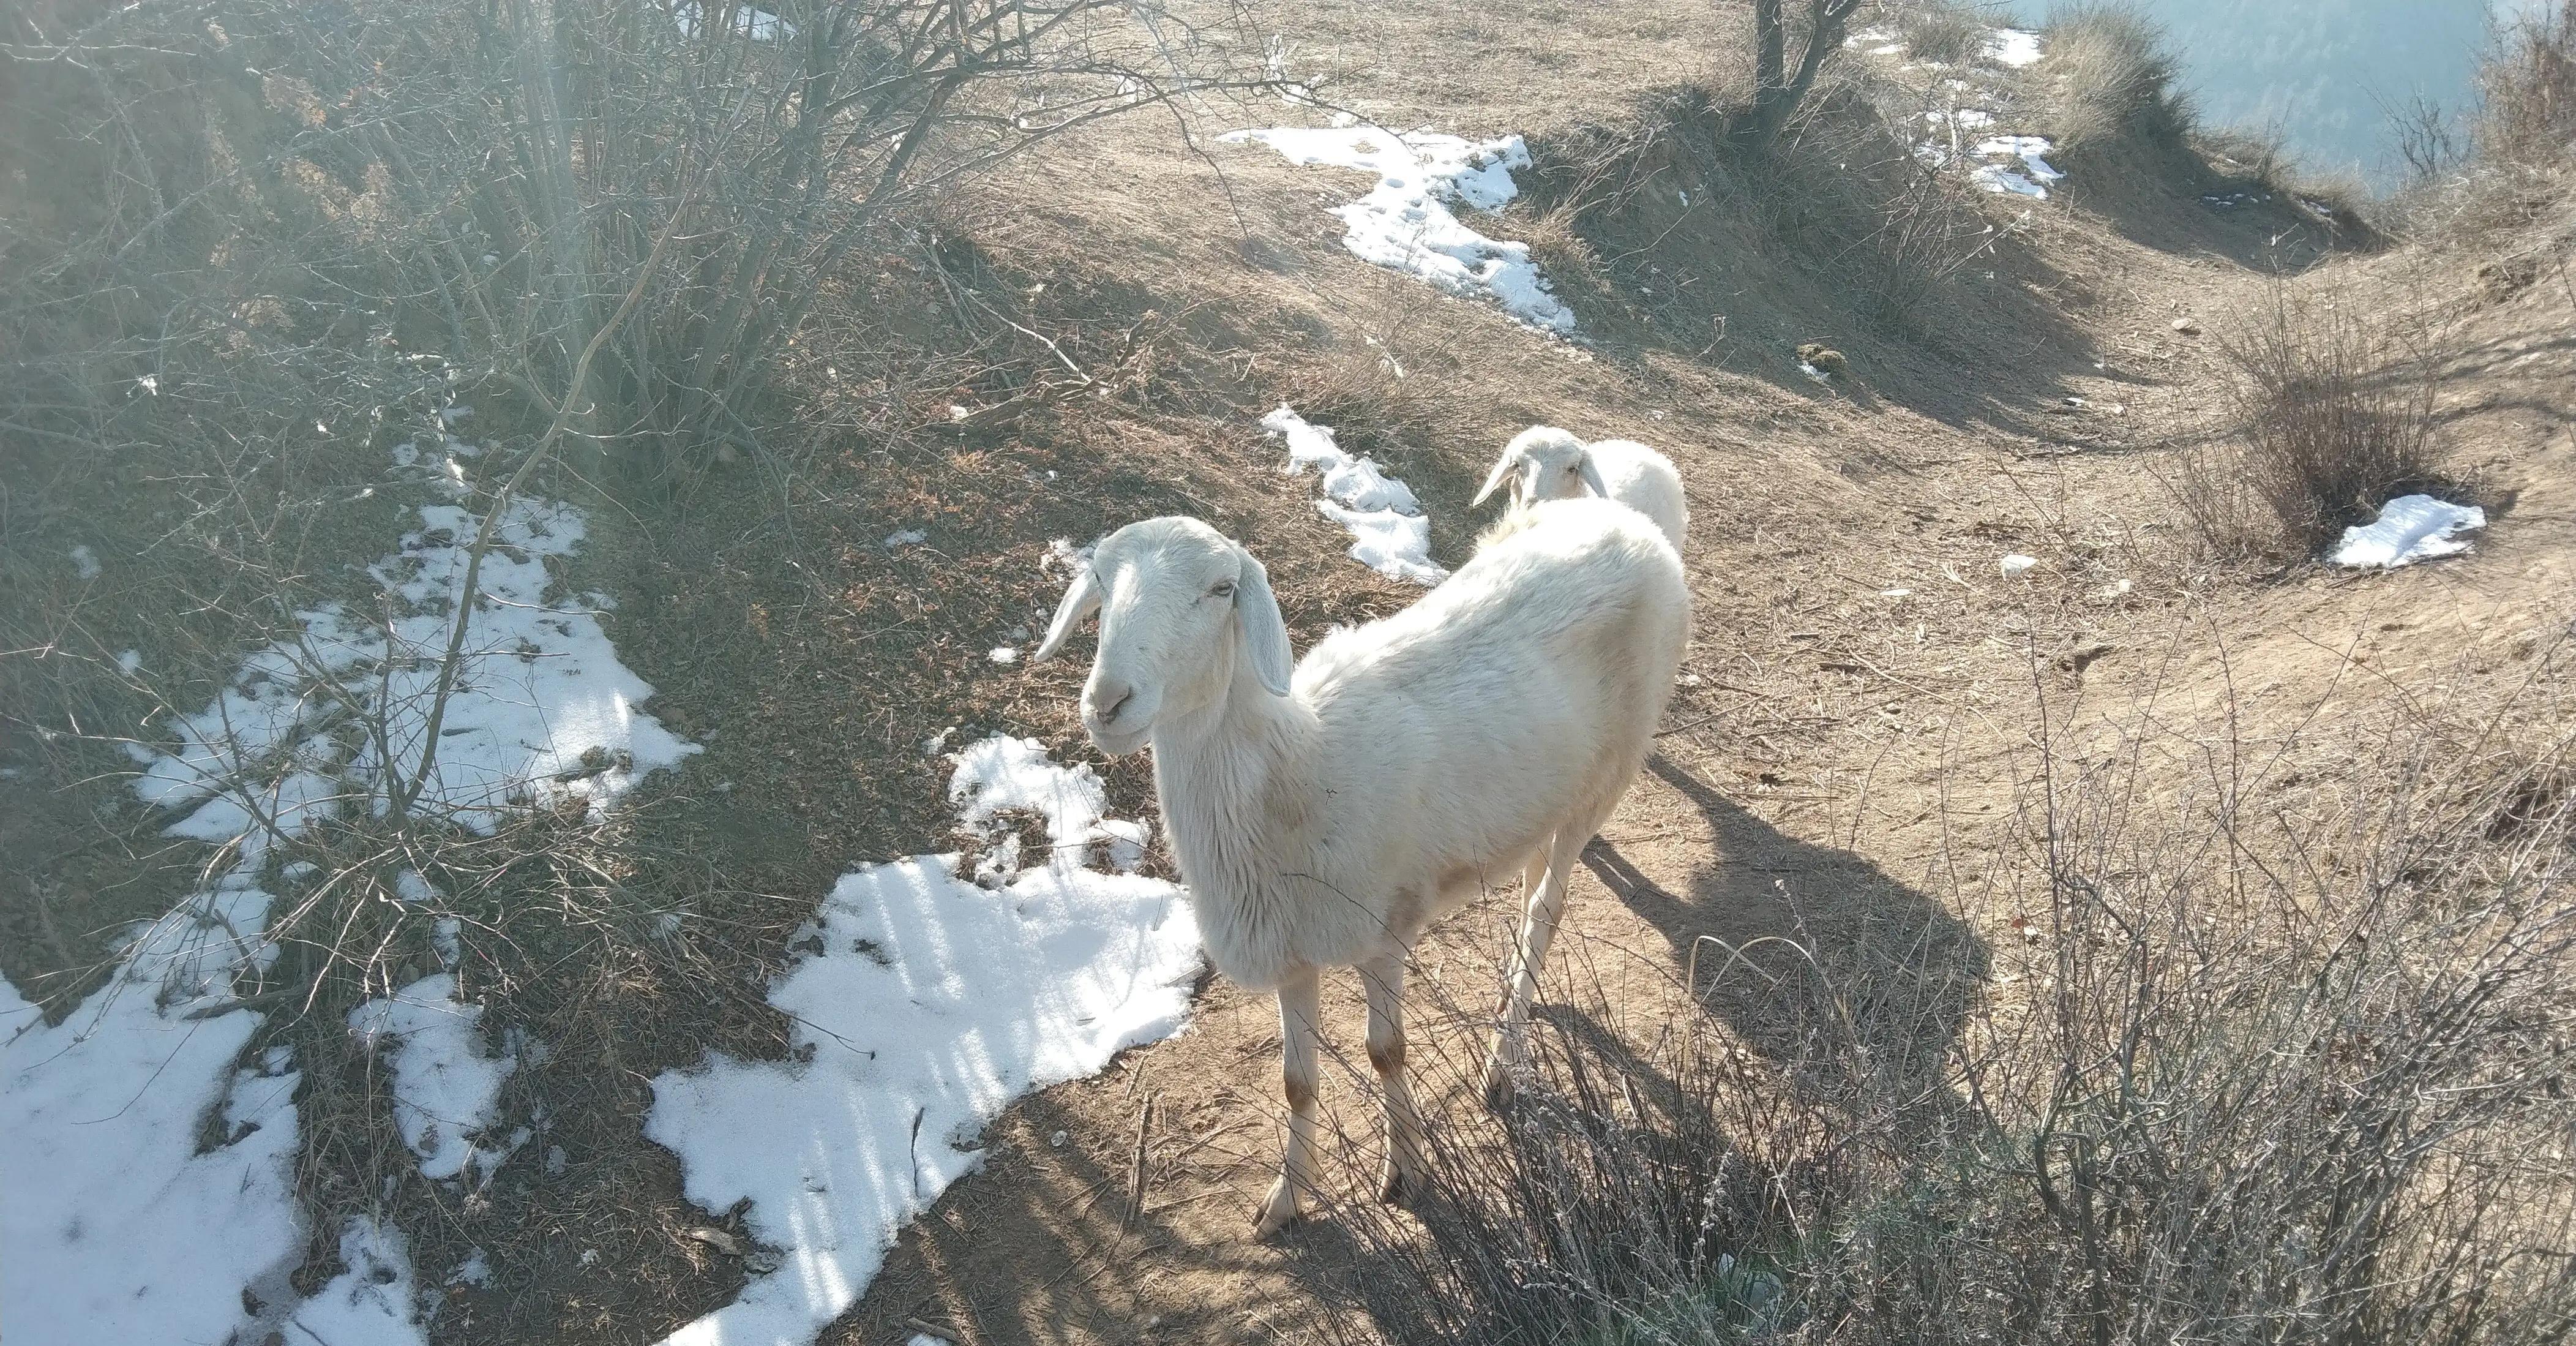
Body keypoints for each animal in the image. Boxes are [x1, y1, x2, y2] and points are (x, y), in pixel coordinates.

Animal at [1030, 497, 1690, 1232]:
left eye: (1222, 590)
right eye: (1100, 581)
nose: (1107, 702)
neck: (1290, 771)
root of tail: (1623, 518)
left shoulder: (1382, 931)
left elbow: (1385, 1052)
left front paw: (1405, 1168)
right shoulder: (1288, 947)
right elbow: (1296, 1081)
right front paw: (1287, 1197)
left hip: (1606, 776)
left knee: (1548, 907)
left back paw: (1502, 1059)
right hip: (1543, 793)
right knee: (1529, 897)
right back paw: (1511, 1008)